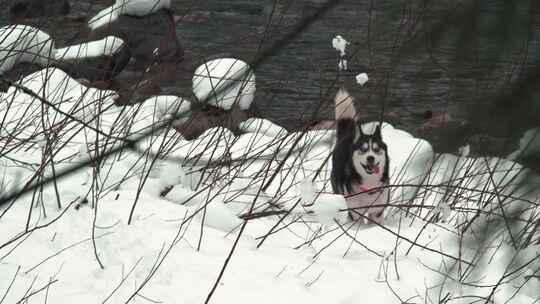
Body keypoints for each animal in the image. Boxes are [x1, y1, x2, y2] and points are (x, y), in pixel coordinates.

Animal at [332, 88, 390, 223]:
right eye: (363, 150)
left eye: (376, 149)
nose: (370, 158)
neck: (369, 186)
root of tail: (348, 135)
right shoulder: (355, 213)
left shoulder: (378, 211)